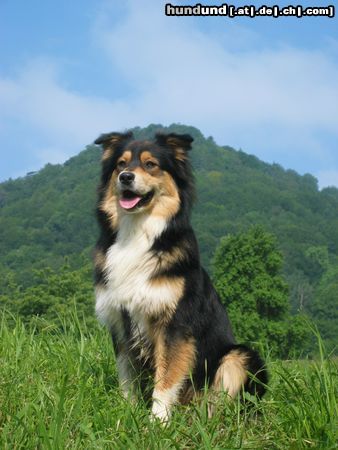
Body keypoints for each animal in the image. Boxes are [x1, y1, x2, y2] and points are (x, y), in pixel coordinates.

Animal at [93, 130, 268, 422]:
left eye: (150, 164)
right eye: (121, 164)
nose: (126, 177)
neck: (136, 234)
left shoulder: (175, 323)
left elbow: (166, 379)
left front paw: (157, 423)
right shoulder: (121, 321)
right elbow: (126, 377)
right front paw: (127, 414)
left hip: (240, 356)